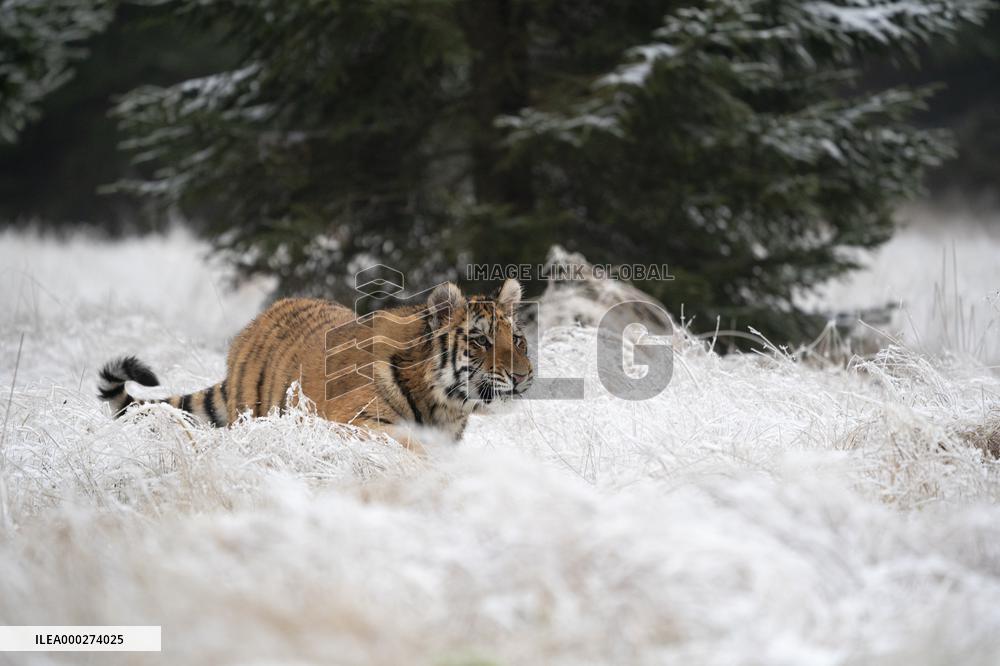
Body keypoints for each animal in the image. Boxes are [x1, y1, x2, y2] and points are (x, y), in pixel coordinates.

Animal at [97, 278, 534, 451]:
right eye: (480, 340)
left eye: (516, 339)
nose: (522, 376)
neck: (444, 405)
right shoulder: (354, 422)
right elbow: (406, 443)